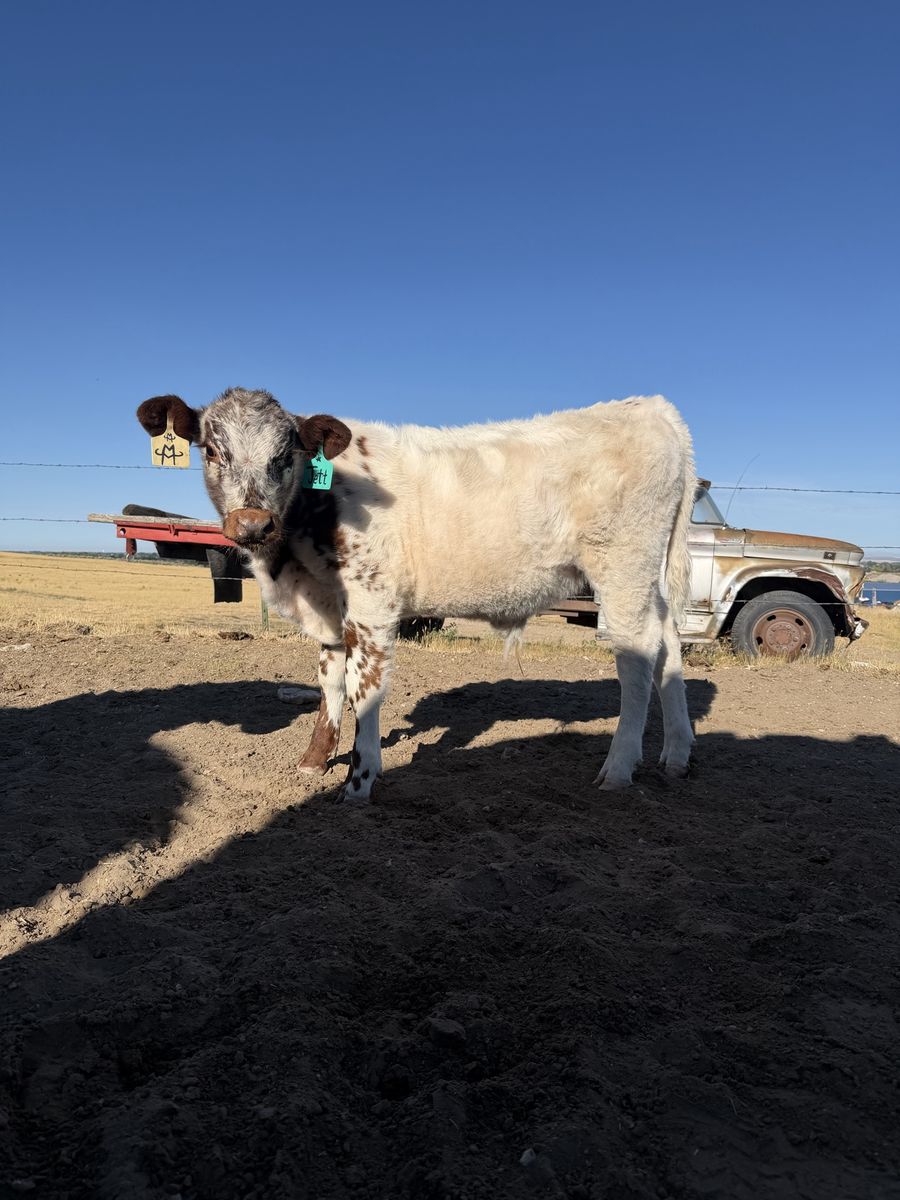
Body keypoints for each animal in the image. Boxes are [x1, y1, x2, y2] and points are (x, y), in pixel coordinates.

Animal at [137, 388, 696, 801]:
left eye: (285, 455)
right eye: (213, 450)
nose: (253, 523)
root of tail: (651, 407)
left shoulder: (372, 606)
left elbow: (364, 690)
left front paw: (359, 780)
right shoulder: (328, 608)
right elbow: (329, 682)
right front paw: (314, 761)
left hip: (622, 567)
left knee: (638, 658)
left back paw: (618, 769)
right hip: (650, 578)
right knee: (668, 643)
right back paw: (676, 755)